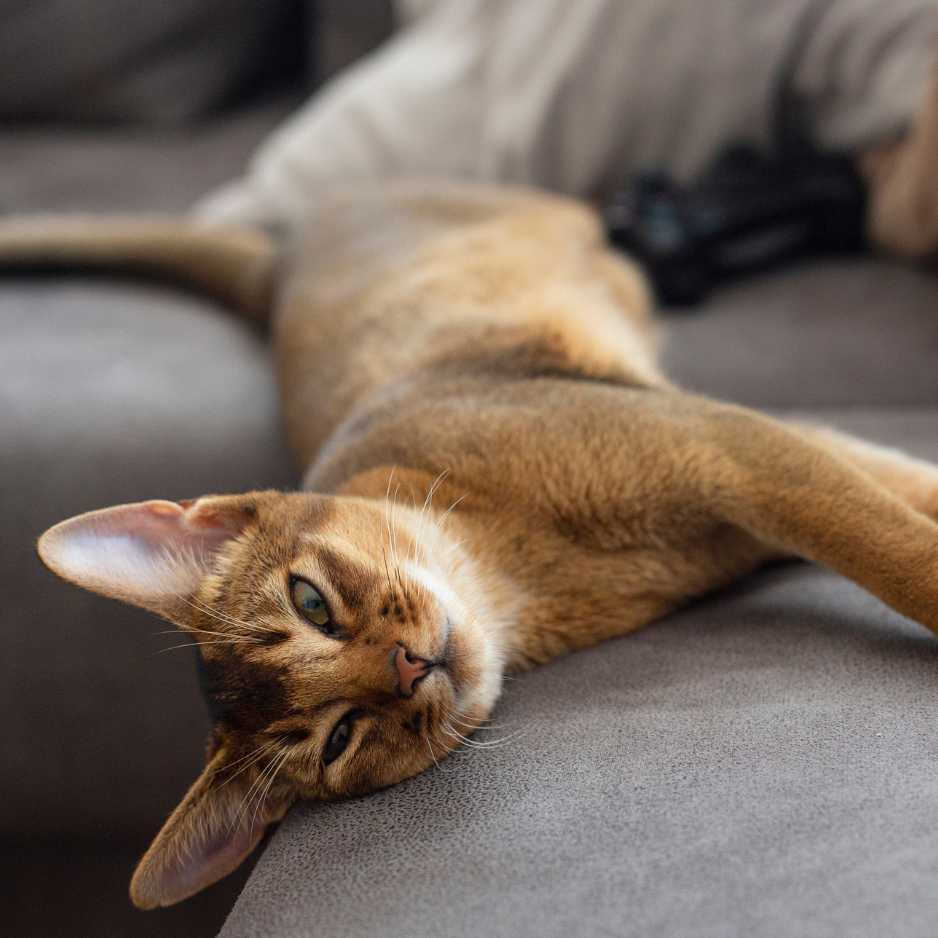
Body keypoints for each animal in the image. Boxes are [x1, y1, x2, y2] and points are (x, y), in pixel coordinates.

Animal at [5, 64, 936, 900]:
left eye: (311, 603)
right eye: (340, 738)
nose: (408, 665)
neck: (532, 573)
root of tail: (280, 265)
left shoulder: (734, 445)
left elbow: (900, 549)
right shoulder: (762, 466)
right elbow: (902, 515)